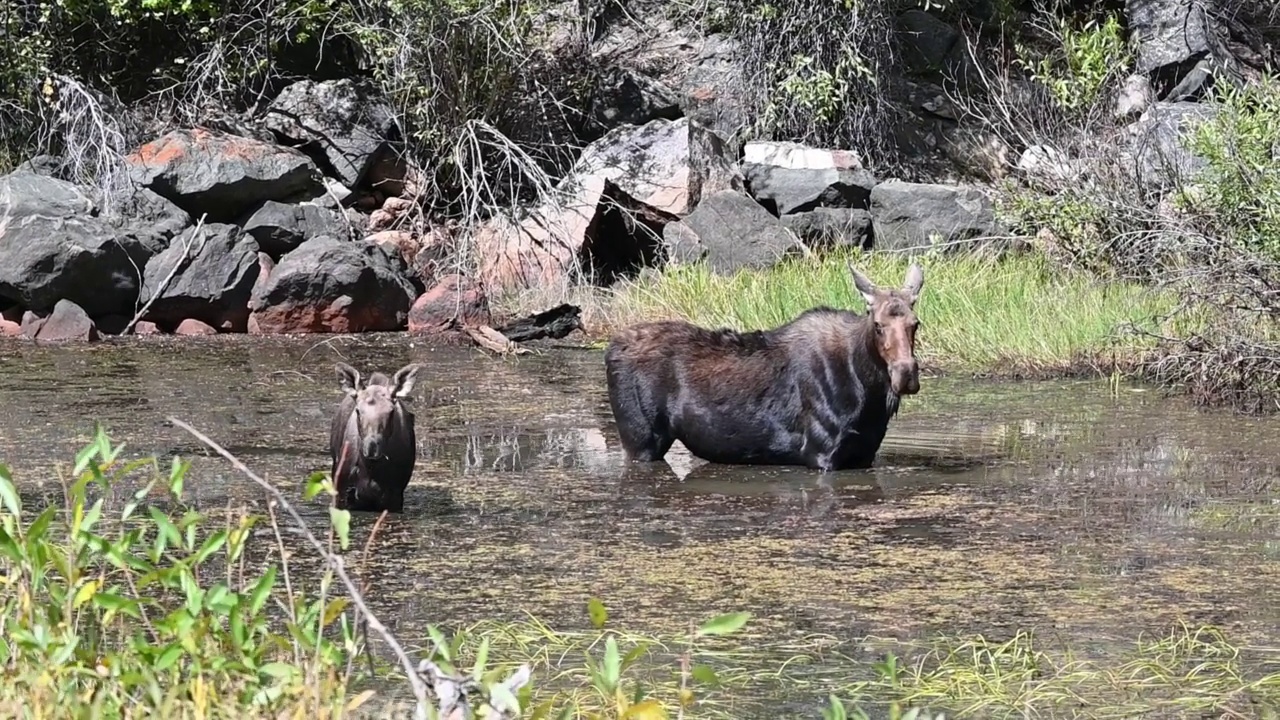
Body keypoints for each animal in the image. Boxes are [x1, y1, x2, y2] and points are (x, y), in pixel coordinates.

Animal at [327, 358, 422, 509]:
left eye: (391, 411)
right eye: (358, 410)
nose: (371, 448)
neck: (370, 470)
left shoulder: (395, 497)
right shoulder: (342, 491)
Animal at [604, 258, 926, 471]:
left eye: (915, 323)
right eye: (878, 325)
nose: (905, 374)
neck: (868, 393)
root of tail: (610, 347)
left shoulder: (865, 454)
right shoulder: (821, 453)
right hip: (641, 439)